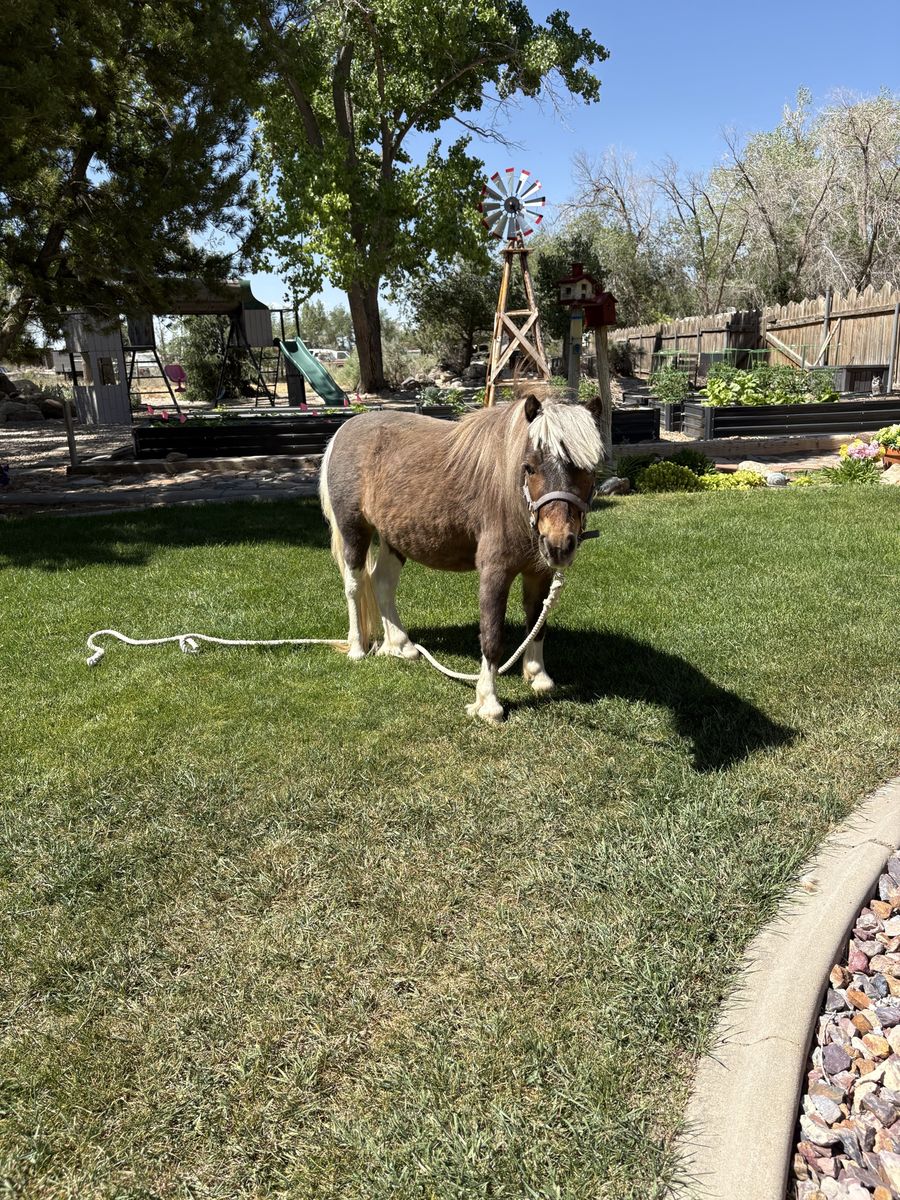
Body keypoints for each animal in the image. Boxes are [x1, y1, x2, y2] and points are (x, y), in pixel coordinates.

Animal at [319, 392, 605, 723]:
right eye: (530, 467)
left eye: (589, 469)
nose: (559, 544)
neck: (510, 498)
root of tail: (345, 429)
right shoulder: (494, 572)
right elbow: (492, 637)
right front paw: (488, 703)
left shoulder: (540, 572)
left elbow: (537, 623)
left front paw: (538, 676)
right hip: (354, 530)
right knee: (354, 586)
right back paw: (357, 648)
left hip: (395, 537)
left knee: (382, 583)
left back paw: (400, 645)